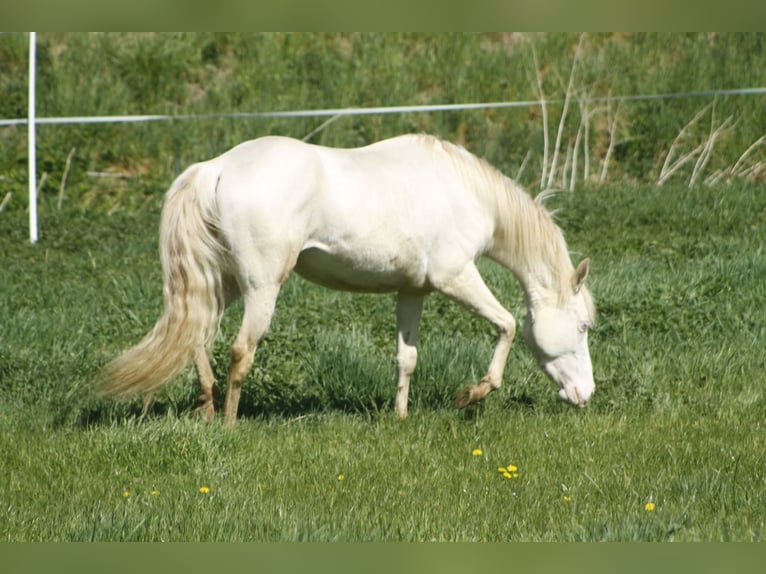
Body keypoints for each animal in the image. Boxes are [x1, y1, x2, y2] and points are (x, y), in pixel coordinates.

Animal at [100, 134, 596, 426]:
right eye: (584, 327)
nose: (585, 394)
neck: (466, 191)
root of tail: (216, 167)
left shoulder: (413, 290)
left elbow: (407, 358)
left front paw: (399, 417)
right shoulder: (455, 277)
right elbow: (508, 325)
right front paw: (471, 395)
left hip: (223, 281)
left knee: (197, 335)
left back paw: (205, 407)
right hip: (261, 287)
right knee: (240, 351)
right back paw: (227, 423)